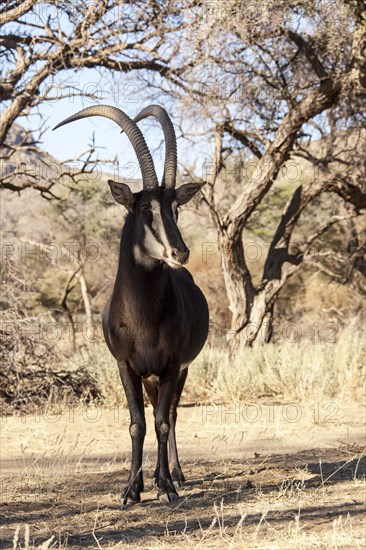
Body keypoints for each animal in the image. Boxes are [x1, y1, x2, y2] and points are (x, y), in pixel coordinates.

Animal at [54, 105, 209, 506]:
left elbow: (162, 421)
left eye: (175, 208)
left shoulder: (171, 364)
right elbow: (137, 423)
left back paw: (174, 474)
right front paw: (131, 489)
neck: (144, 316)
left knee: (170, 413)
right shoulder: (125, 366)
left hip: (178, 371)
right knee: (155, 412)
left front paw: (166, 486)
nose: (180, 252)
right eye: (144, 209)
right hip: (150, 375)